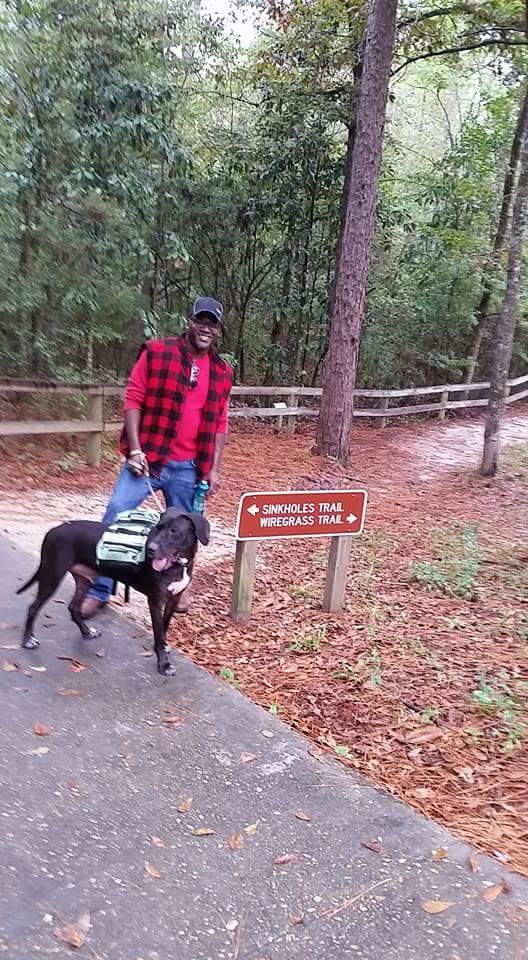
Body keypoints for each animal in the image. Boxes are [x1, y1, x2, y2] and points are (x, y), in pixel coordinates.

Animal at [14, 510, 208, 676]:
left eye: (173, 531)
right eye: (157, 528)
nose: (151, 549)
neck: (178, 565)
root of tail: (54, 530)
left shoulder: (173, 599)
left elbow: (164, 627)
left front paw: (164, 646)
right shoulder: (155, 601)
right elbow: (158, 633)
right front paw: (164, 664)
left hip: (84, 579)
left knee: (74, 607)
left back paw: (86, 631)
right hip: (52, 576)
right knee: (33, 607)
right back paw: (28, 640)